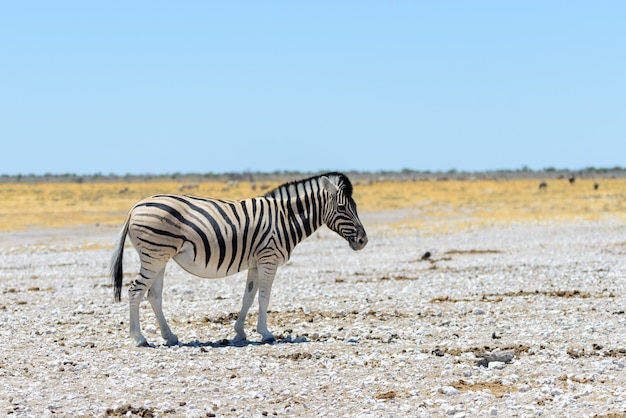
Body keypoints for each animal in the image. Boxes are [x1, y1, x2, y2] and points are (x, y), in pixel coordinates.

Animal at [111, 171, 366, 348]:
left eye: (355, 207)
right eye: (342, 208)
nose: (363, 241)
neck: (285, 218)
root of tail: (134, 207)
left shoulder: (255, 262)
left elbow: (248, 297)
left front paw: (240, 332)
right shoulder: (269, 259)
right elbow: (264, 297)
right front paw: (266, 333)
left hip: (160, 257)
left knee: (153, 295)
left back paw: (170, 336)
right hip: (154, 255)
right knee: (135, 291)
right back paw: (140, 338)